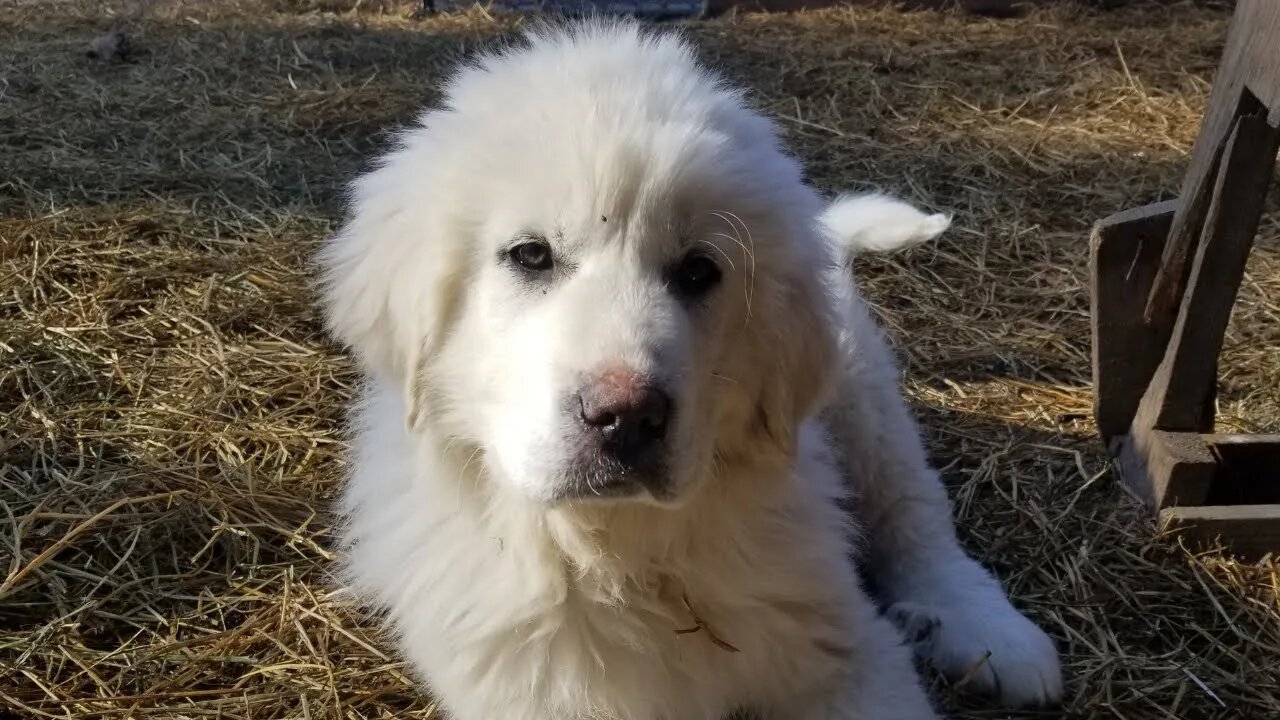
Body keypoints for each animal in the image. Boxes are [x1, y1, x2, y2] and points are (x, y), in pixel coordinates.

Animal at [317, 20, 1059, 717]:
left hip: (863, 399)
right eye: (530, 255)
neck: (622, 552)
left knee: (915, 516)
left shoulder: (845, 647)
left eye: (700, 271)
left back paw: (991, 635)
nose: (627, 416)